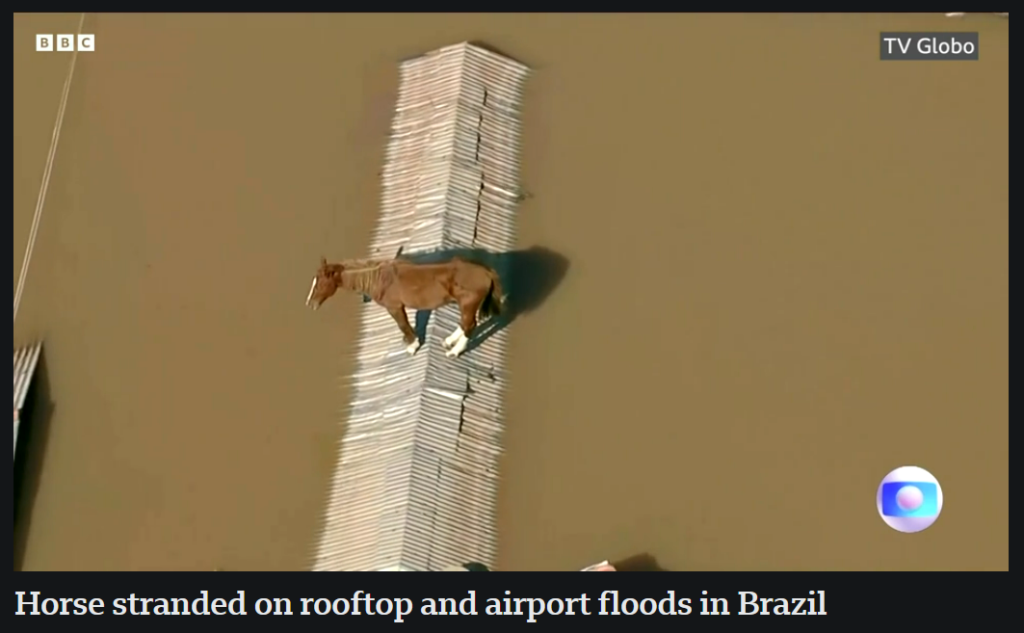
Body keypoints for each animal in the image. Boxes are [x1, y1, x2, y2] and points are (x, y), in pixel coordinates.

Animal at [307, 254, 507, 356]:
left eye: (320, 284)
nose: (310, 304)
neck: (379, 278)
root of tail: (487, 272)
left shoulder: (394, 307)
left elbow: (402, 324)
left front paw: (413, 345)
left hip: (468, 304)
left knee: (469, 325)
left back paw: (455, 351)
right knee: (466, 323)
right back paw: (449, 341)